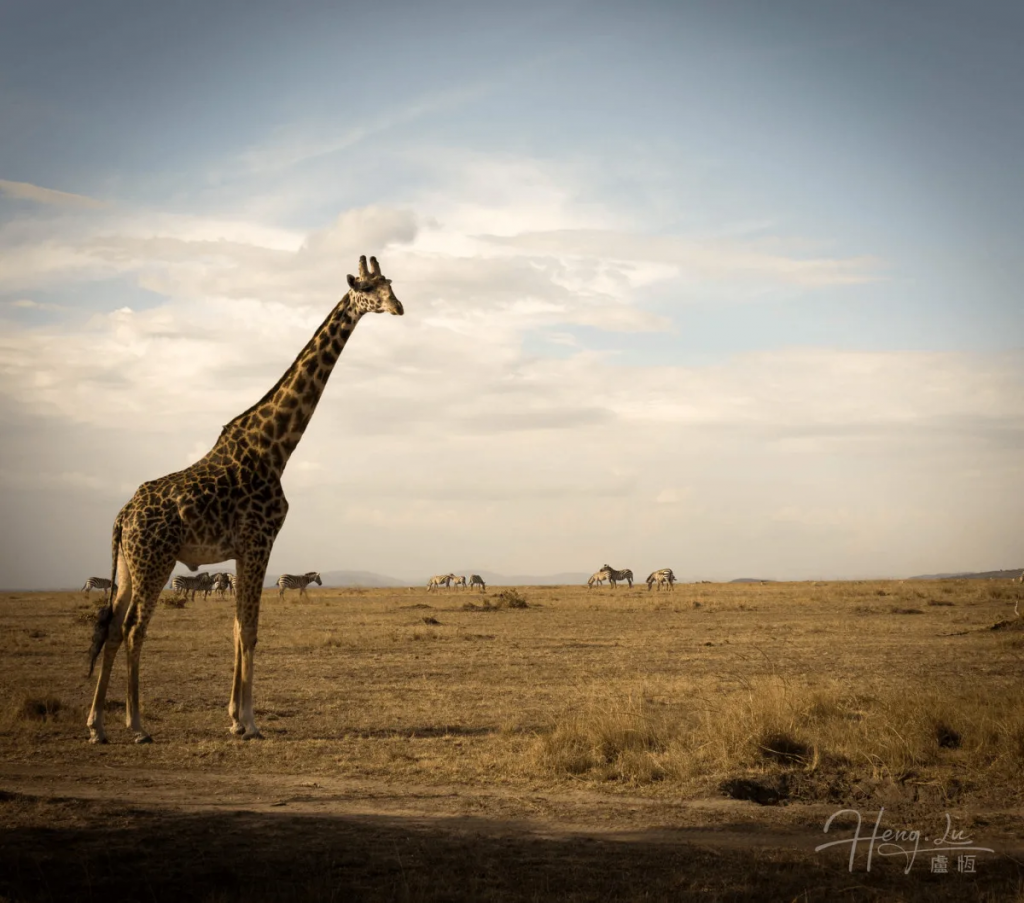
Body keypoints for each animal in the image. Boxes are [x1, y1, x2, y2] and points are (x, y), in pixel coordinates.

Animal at [86, 255, 404, 744]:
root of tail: (123, 516)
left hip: (126, 565)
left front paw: (235, 717)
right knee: (135, 628)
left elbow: (237, 628)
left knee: (112, 628)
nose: (399, 307)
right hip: (154, 559)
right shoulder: (260, 540)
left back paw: (97, 725)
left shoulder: (241, 550)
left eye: (391, 283)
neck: (275, 448)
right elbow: (250, 630)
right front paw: (250, 722)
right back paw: (136, 725)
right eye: (369, 288)